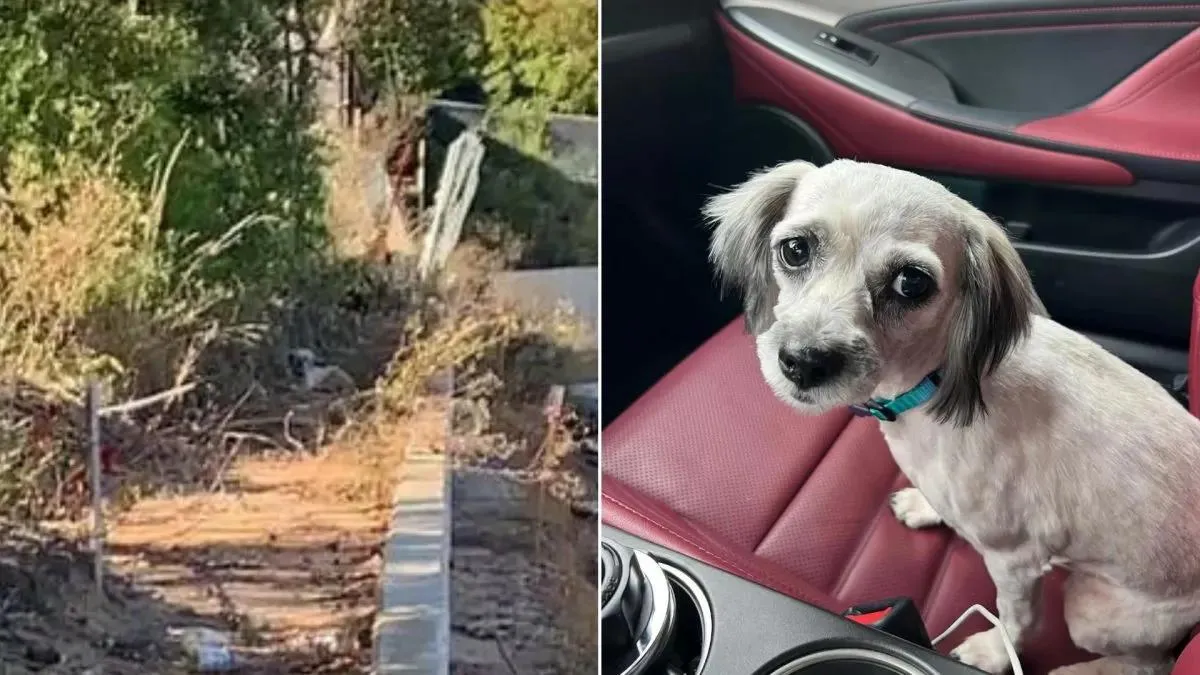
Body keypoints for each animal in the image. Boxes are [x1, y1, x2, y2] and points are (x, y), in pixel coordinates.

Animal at [700, 158, 1200, 672]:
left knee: (1149, 662)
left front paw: (995, 650)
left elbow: (1017, 618)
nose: (804, 362)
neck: (932, 381)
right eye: (795, 250)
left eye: (911, 282)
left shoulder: (1016, 558)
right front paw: (926, 507)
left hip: (1091, 611)